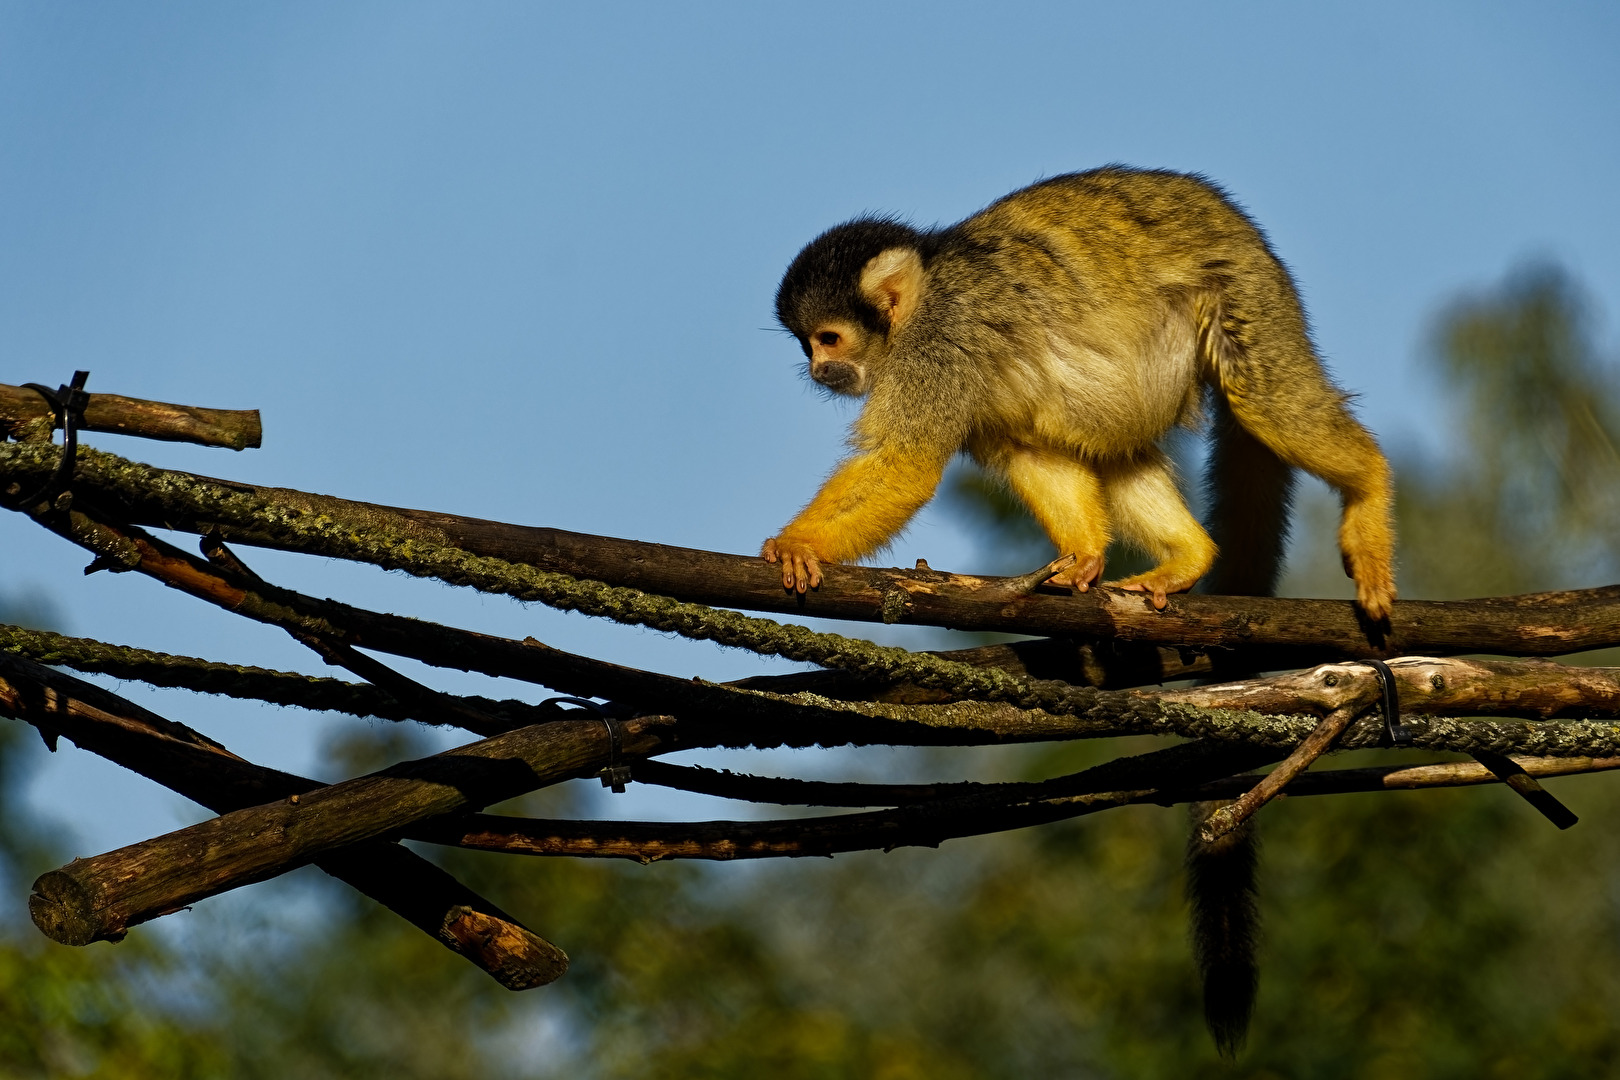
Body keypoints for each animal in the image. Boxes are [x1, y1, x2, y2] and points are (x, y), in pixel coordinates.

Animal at [761, 161, 1393, 615]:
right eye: (807, 346)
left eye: (830, 339)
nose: (819, 370)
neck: (918, 304)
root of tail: (1249, 235)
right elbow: (1027, 449)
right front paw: (1085, 553)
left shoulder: (939, 343)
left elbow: (903, 463)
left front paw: (799, 544)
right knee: (1113, 439)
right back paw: (1188, 556)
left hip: (1245, 291)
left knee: (1264, 402)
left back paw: (1369, 486)